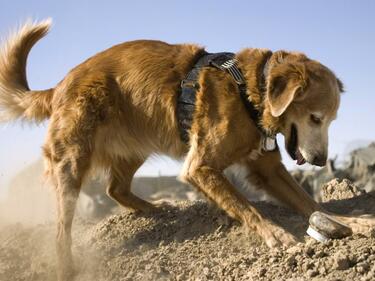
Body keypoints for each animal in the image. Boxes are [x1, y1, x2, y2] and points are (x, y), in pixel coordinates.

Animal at [0, 19, 375, 278]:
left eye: (330, 120)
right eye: (315, 117)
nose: (321, 161)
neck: (249, 90)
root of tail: (60, 84)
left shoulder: (267, 169)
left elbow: (309, 201)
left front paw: (349, 222)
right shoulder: (201, 167)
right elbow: (247, 207)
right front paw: (275, 234)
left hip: (136, 144)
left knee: (115, 188)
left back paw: (155, 208)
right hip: (73, 159)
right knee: (62, 226)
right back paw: (67, 265)